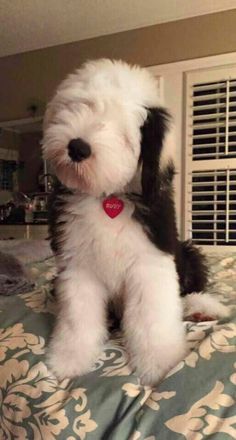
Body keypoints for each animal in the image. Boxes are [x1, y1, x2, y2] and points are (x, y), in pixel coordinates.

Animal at [42, 58, 227, 384]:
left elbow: (153, 316)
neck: (106, 197)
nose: (77, 147)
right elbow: (79, 318)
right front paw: (69, 360)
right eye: (83, 105)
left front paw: (161, 363)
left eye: (123, 132)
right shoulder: (78, 266)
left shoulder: (150, 261)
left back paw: (201, 308)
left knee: (187, 289)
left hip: (187, 252)